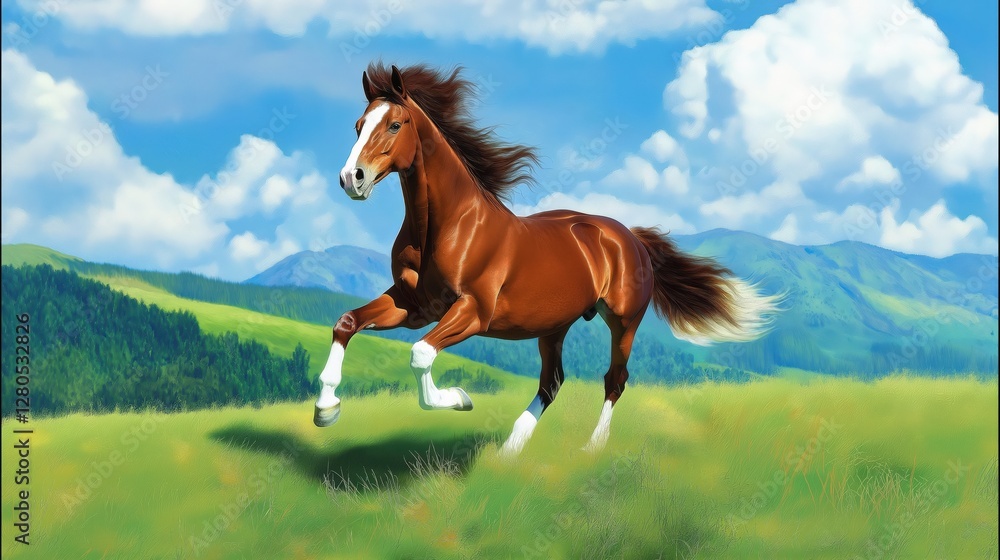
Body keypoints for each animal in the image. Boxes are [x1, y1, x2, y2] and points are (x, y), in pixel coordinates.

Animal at [313, 63, 780, 456]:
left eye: (395, 124)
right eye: (358, 126)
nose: (351, 179)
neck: (447, 227)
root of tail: (630, 237)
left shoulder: (472, 311)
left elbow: (421, 354)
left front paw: (461, 399)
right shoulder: (413, 306)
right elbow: (347, 322)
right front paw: (326, 408)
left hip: (623, 321)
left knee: (614, 380)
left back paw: (590, 449)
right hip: (553, 326)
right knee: (552, 383)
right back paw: (508, 453)